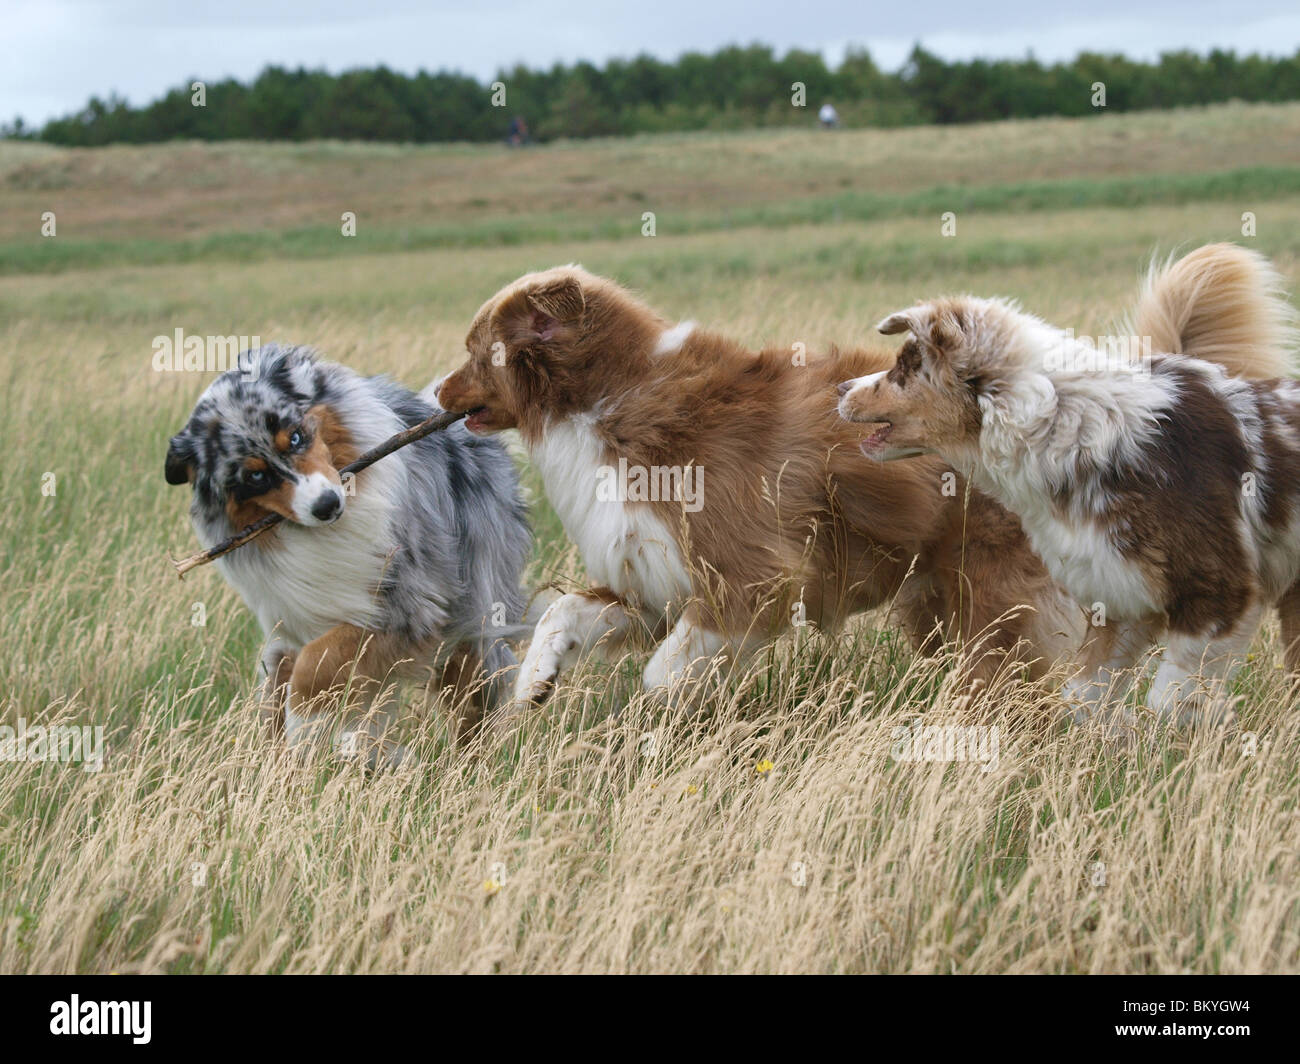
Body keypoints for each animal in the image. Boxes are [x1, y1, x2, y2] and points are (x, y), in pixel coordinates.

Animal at [436, 262, 1086, 702]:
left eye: (476, 351)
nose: (437, 391)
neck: (609, 401)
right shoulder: (654, 577)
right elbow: (566, 611)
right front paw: (535, 679)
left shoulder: (753, 576)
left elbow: (660, 674)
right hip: (933, 600)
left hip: (987, 593)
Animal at [837, 241, 1294, 723]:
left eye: (904, 367)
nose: (840, 387)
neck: (1068, 428)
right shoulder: (1122, 596)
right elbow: (1083, 695)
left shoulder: (1219, 591)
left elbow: (1167, 700)